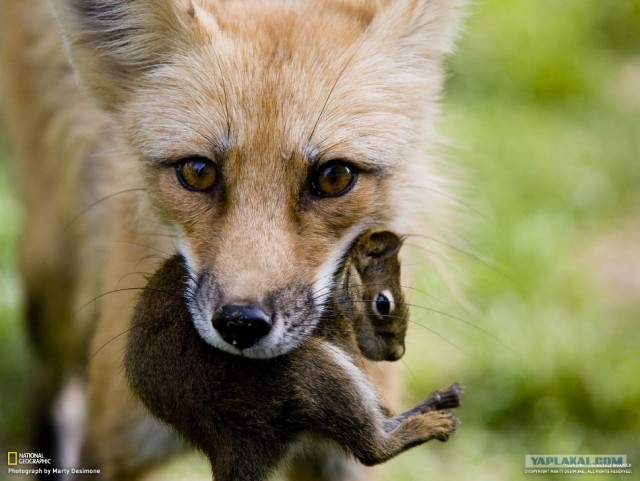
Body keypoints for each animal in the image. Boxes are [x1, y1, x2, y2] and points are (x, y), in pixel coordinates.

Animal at [125, 228, 460, 480]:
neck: (336, 281)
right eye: (383, 303)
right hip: (312, 371)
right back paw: (425, 424)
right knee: (372, 449)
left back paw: (435, 402)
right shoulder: (331, 330)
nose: (396, 353)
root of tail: (226, 443)